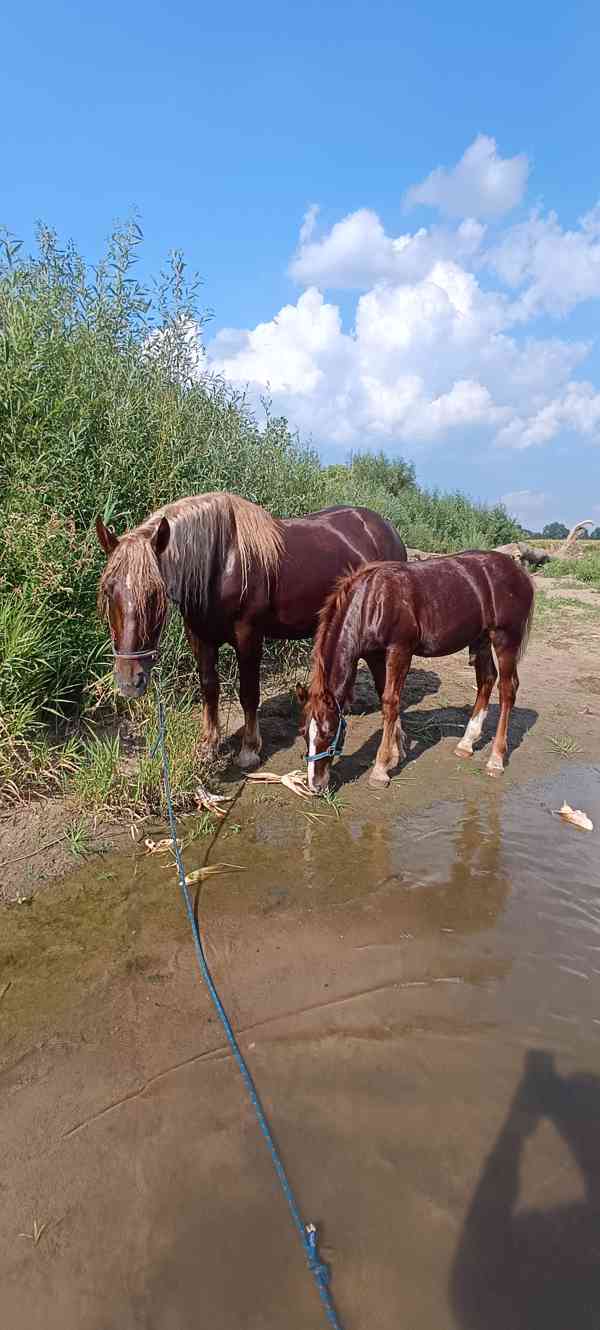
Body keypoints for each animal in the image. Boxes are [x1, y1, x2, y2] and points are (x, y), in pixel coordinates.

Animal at [96, 492, 407, 766]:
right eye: (109, 591)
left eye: (154, 593)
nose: (129, 681)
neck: (221, 562)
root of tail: (385, 528)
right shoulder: (200, 637)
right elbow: (209, 688)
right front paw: (209, 746)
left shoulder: (248, 637)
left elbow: (248, 693)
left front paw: (249, 749)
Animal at [298, 547, 537, 787]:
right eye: (304, 733)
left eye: (329, 733)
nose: (315, 784)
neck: (372, 601)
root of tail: (520, 572)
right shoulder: (375, 656)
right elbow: (386, 697)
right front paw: (396, 752)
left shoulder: (400, 650)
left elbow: (391, 701)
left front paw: (380, 769)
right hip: (482, 639)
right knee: (486, 680)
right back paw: (466, 743)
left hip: (505, 639)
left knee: (507, 690)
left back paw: (495, 760)